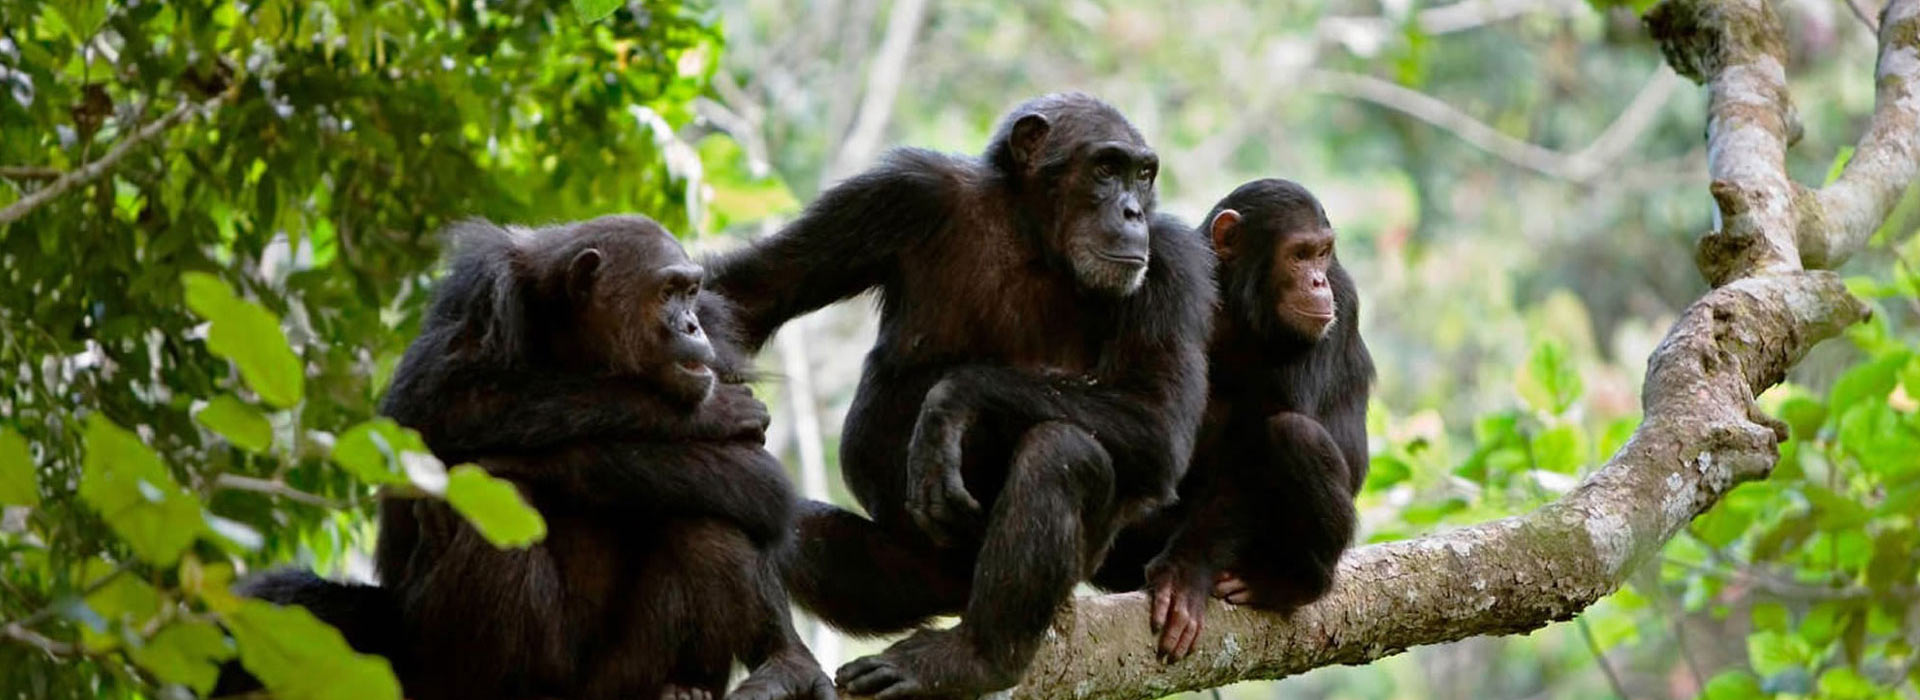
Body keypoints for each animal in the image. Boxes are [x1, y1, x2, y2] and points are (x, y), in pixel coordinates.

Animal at [228, 213, 829, 698]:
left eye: (691, 291)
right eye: (666, 293)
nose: (690, 325)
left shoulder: (718, 335)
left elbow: (754, 477)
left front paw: (788, 658)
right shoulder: (480, 291)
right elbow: (431, 410)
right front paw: (709, 412)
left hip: (618, 681)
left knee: (709, 518)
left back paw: (682, 687)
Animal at [706, 93, 1213, 698]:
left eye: (1143, 174)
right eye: (1106, 168)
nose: (1133, 211)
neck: (1033, 235)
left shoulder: (1174, 264)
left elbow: (1159, 419)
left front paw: (951, 403)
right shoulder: (898, 193)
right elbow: (748, 295)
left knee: (1063, 453)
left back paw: (973, 659)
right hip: (910, 577)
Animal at [1090, 178, 1374, 659]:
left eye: (1323, 254)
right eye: (1299, 255)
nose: (1317, 281)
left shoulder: (1342, 295)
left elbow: (1256, 446)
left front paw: (1185, 574)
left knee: (1293, 434)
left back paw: (1291, 583)